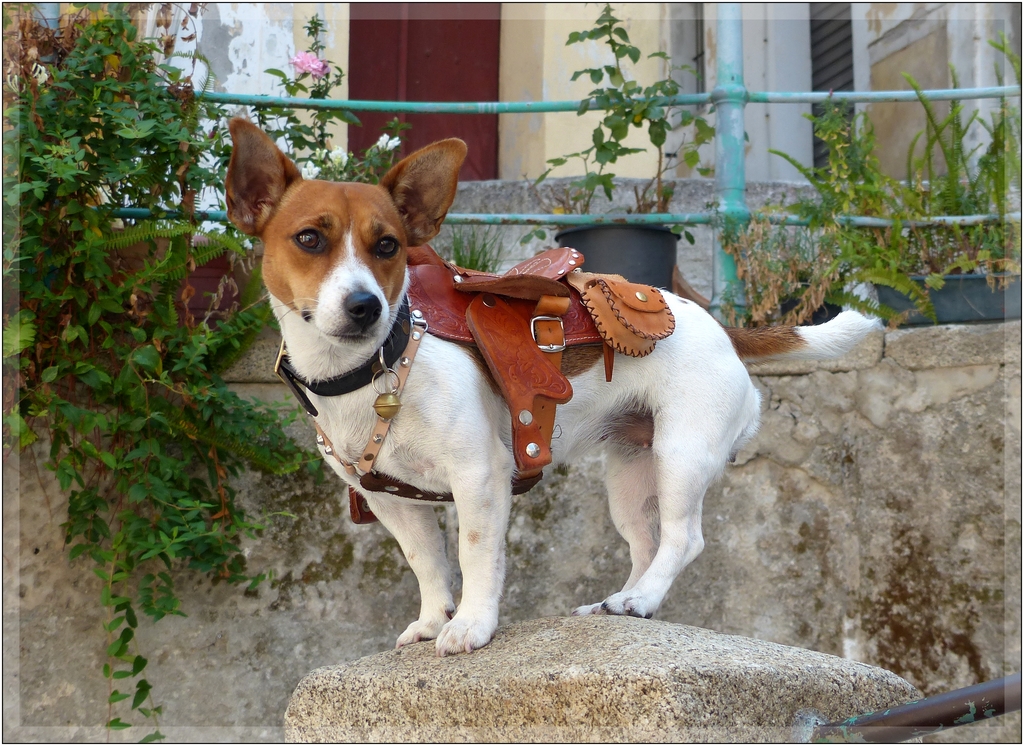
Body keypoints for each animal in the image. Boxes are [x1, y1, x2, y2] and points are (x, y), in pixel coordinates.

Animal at [226, 117, 880, 659]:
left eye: (387, 245)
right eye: (310, 239)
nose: (365, 306)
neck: (375, 368)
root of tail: (718, 325)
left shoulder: (480, 477)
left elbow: (476, 556)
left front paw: (471, 626)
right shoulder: (392, 501)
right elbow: (428, 564)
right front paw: (434, 620)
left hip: (682, 454)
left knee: (684, 539)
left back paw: (641, 600)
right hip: (630, 475)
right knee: (646, 544)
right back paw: (619, 603)